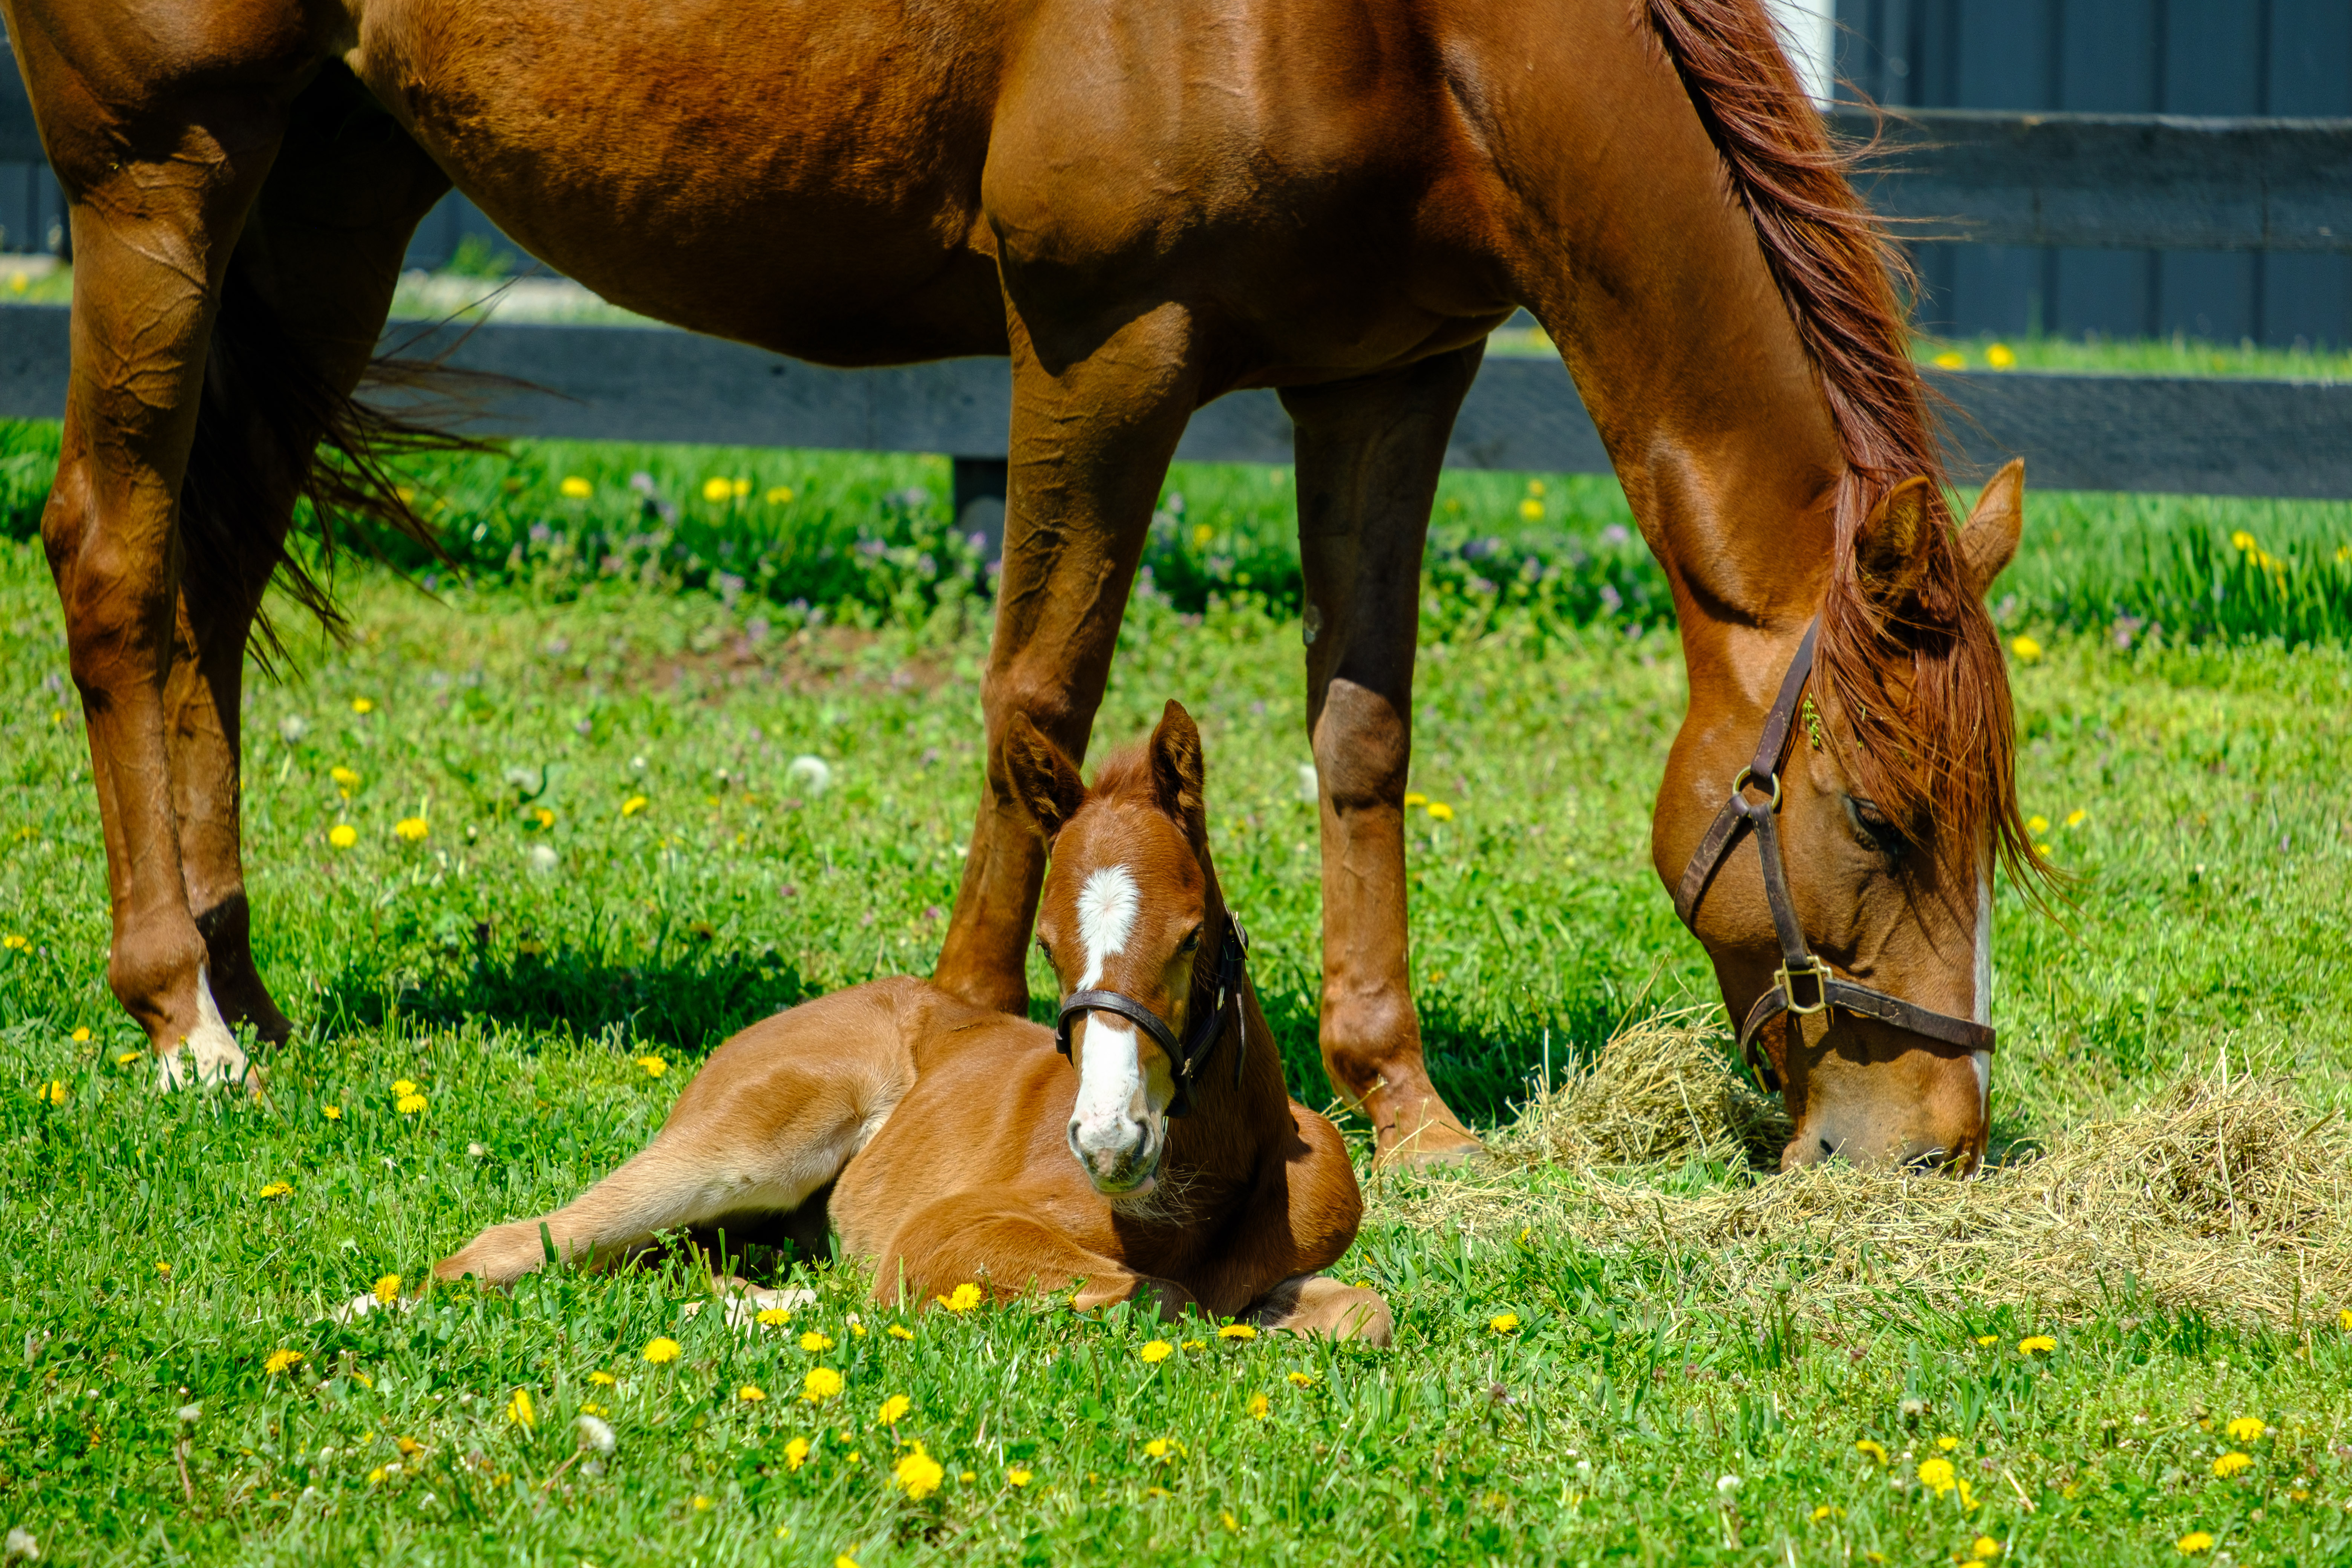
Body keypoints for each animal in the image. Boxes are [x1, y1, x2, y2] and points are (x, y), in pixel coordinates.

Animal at [11, 0, 2037, 1170]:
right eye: (1872, 816)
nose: (1936, 1137)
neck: (1403, 27)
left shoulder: (1389, 377)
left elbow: (1362, 738)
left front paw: (1401, 1100)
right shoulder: (1099, 343)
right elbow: (1039, 709)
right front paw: (962, 1037)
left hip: (335, 184)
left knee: (212, 576)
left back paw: (245, 979)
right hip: (158, 177)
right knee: (116, 557)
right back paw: (181, 1018)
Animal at [432, 702, 1391, 1341]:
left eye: (1191, 937)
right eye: (1048, 947)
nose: (1108, 1141)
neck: (1208, 1184)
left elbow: (1361, 1312)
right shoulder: (944, 1231)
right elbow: (1160, 1295)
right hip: (742, 1150)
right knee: (505, 1246)